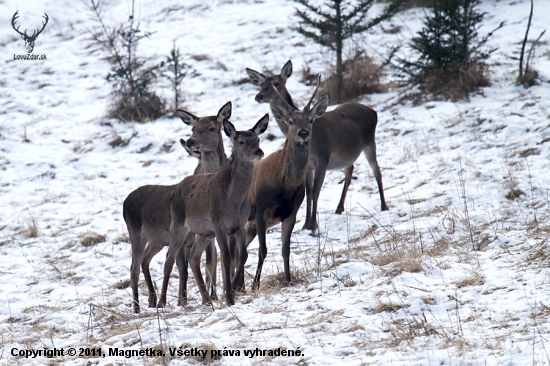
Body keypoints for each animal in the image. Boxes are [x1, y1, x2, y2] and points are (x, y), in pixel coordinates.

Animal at [122, 101, 232, 314]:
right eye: (193, 128)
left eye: (212, 128)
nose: (190, 141)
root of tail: (125, 201)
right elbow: (184, 266)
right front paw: (185, 300)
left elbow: (211, 261)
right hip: (136, 233)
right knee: (134, 266)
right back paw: (138, 307)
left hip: (156, 240)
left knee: (145, 260)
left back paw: (151, 300)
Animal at [157, 113, 270, 306]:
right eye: (241, 141)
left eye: (257, 139)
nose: (259, 152)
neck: (234, 201)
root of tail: (175, 190)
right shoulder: (219, 224)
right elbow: (226, 257)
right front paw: (229, 297)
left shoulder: (239, 225)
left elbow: (242, 255)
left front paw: (232, 289)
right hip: (178, 226)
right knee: (169, 259)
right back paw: (161, 303)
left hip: (203, 232)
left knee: (193, 257)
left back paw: (207, 299)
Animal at [236, 77, 328, 292]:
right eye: (291, 121)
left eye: (311, 120)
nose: (303, 132)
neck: (284, 187)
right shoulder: (261, 210)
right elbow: (263, 250)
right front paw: (255, 285)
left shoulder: (291, 212)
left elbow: (286, 249)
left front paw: (288, 279)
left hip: (249, 225)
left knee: (238, 252)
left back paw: (237, 287)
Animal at [248, 60, 390, 234]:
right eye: (261, 84)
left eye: (276, 83)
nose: (259, 96)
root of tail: (373, 110)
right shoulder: (309, 166)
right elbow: (309, 193)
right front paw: (306, 224)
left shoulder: (323, 158)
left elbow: (316, 192)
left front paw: (314, 225)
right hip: (348, 155)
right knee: (350, 170)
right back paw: (339, 208)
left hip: (370, 143)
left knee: (377, 170)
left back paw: (384, 206)